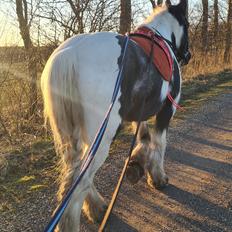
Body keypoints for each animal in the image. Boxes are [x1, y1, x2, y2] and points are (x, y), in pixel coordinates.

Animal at [40, 0, 191, 231]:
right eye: (189, 24)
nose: (188, 56)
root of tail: (69, 54)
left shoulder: (139, 112)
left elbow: (143, 136)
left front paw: (137, 163)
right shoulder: (166, 110)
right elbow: (159, 143)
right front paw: (157, 177)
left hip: (72, 137)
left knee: (75, 174)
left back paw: (97, 207)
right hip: (101, 138)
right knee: (79, 181)